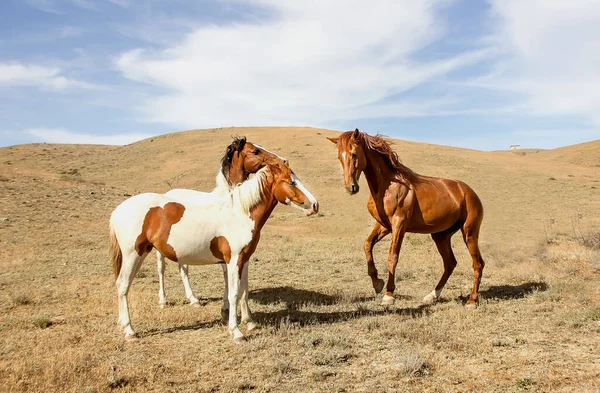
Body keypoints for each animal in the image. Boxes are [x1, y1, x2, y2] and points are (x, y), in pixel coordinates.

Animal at [110, 160, 322, 344]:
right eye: (291, 182)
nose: (315, 205)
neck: (239, 214)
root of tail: (118, 211)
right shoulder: (233, 260)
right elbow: (234, 293)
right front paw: (236, 332)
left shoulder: (244, 260)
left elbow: (244, 291)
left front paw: (250, 323)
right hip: (133, 254)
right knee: (123, 285)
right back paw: (130, 330)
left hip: (141, 253)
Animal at [155, 136, 286, 310]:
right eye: (255, 151)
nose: (282, 160)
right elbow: (226, 273)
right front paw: (227, 306)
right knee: (161, 269)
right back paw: (163, 301)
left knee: (183, 269)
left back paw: (193, 299)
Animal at [328, 129, 488, 310]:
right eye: (339, 157)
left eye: (354, 154)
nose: (351, 187)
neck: (388, 186)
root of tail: (469, 192)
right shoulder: (384, 225)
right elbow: (367, 245)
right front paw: (377, 283)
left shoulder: (399, 224)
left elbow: (392, 256)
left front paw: (388, 295)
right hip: (441, 236)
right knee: (450, 263)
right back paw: (432, 296)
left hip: (469, 232)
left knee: (477, 264)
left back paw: (472, 301)